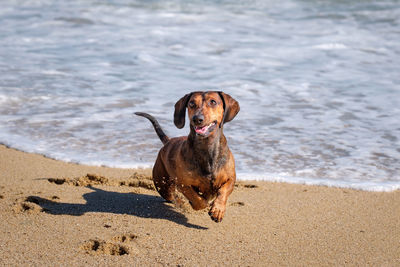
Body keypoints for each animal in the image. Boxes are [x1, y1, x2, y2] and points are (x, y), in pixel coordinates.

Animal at [134, 91, 241, 223]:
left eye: (213, 102)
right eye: (191, 103)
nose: (197, 119)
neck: (207, 148)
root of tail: (168, 141)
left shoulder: (231, 179)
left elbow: (223, 191)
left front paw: (217, 210)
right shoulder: (183, 184)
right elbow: (198, 200)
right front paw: (199, 204)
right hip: (162, 184)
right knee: (171, 196)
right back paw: (180, 202)